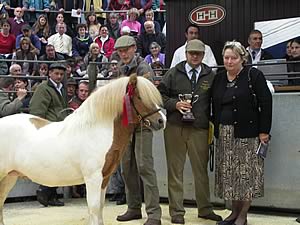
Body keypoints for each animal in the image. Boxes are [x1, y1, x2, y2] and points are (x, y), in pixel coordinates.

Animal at [0, 74, 165, 225]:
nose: (161, 120)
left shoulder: (104, 178)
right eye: (140, 97)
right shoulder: (93, 178)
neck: (97, 129)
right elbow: (94, 208)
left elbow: (100, 207)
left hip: (9, 177)